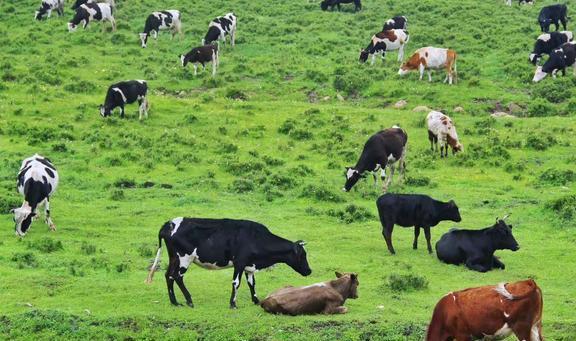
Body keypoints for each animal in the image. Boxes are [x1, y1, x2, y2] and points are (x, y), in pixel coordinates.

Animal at [146, 218, 312, 308]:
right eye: (302, 255)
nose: (309, 271)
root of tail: (169, 224)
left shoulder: (249, 265)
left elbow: (252, 283)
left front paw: (256, 300)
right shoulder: (239, 262)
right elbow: (236, 283)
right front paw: (233, 304)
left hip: (174, 257)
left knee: (168, 275)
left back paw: (174, 302)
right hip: (184, 258)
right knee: (177, 276)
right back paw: (189, 300)